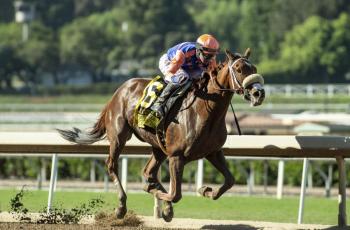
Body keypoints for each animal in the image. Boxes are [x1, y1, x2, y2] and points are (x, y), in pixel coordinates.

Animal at [58, 48, 266, 221]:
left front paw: (204, 190)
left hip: (158, 146)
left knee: (148, 172)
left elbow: (229, 181)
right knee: (112, 165)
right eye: (238, 69)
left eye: (254, 67)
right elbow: (175, 194)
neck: (205, 110)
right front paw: (163, 204)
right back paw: (121, 207)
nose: (259, 93)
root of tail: (120, 90)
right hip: (118, 136)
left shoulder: (213, 152)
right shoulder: (176, 156)